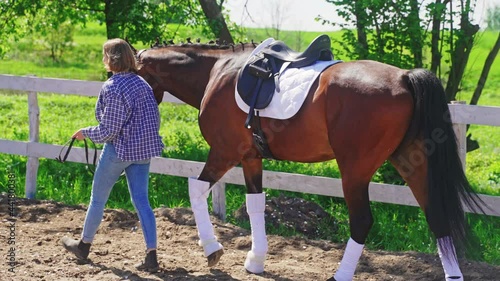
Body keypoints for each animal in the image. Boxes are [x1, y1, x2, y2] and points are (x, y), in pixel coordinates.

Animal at [134, 37, 484, 280]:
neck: (216, 72)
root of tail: (404, 78)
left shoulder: (224, 152)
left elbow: (195, 188)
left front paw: (212, 249)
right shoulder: (250, 157)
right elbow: (255, 203)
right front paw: (256, 261)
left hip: (355, 170)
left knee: (362, 221)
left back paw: (341, 275)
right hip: (412, 163)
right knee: (436, 216)